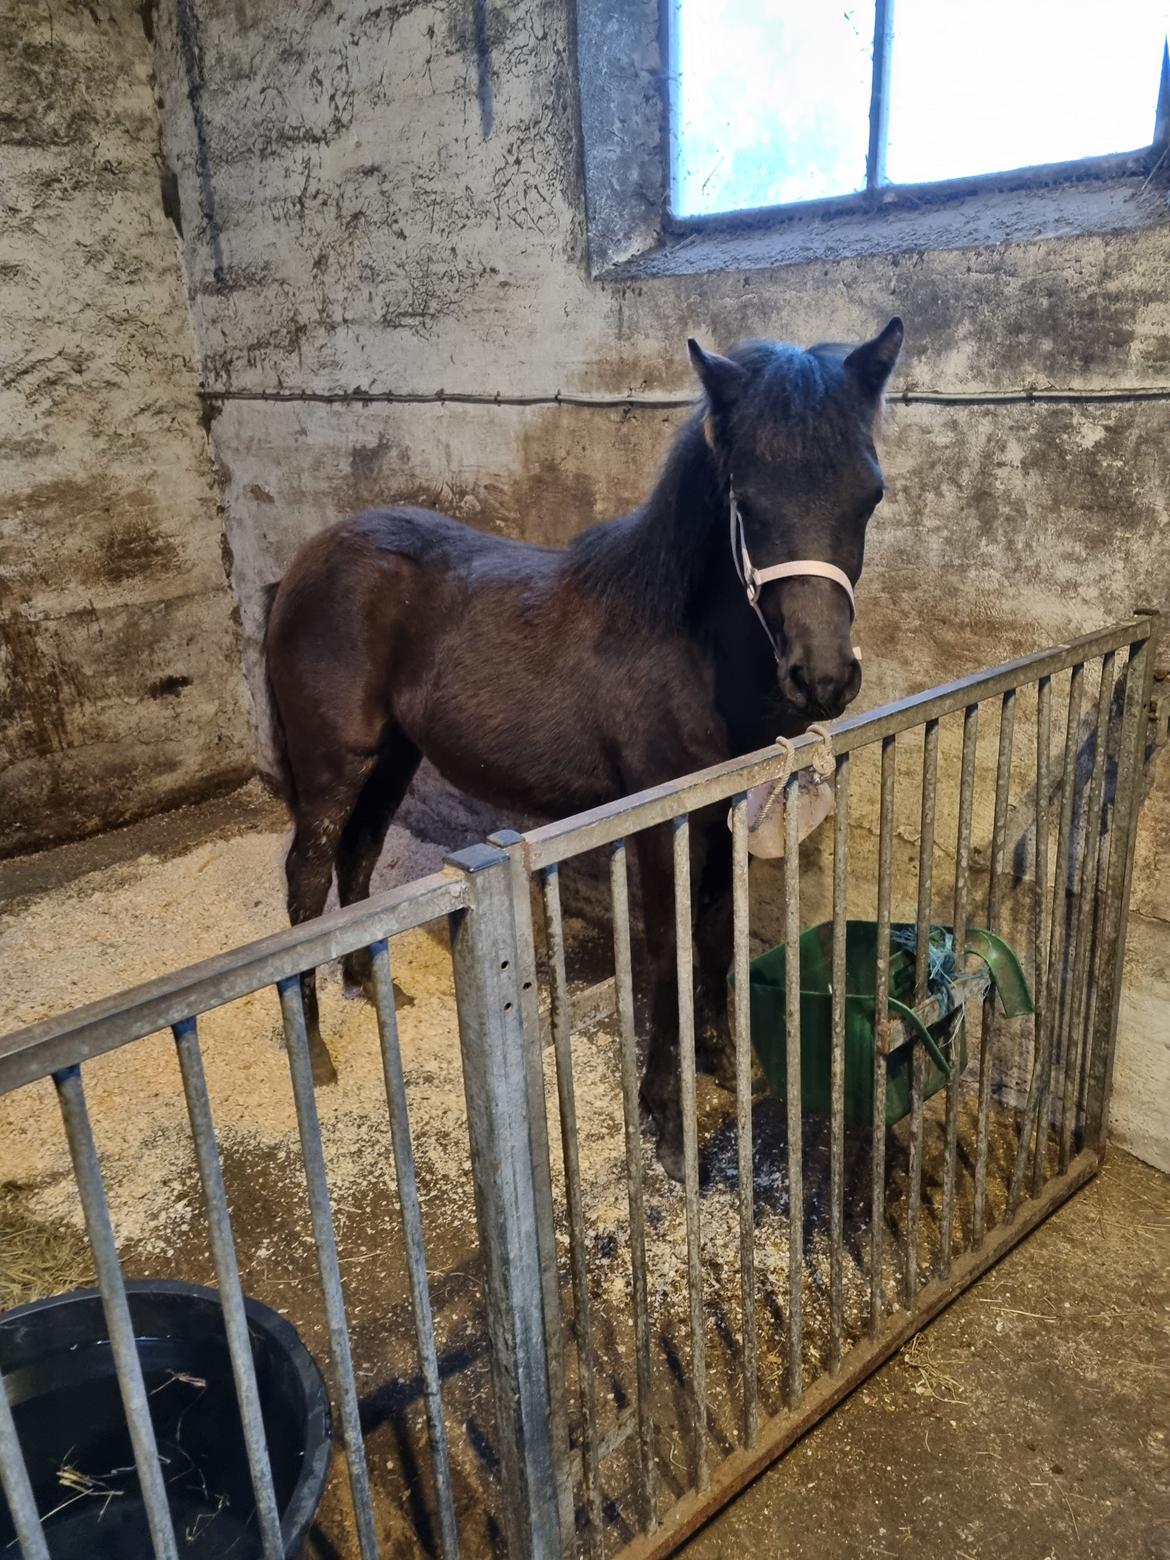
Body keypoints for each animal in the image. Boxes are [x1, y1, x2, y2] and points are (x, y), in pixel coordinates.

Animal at [263, 319, 903, 1179]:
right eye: (747, 499)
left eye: (869, 495)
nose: (823, 678)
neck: (683, 643)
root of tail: (310, 557)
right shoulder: (661, 829)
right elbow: (669, 954)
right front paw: (667, 1114)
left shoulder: (719, 819)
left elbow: (713, 938)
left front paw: (719, 1059)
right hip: (337, 760)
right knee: (306, 878)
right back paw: (316, 1048)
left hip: (394, 757)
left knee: (358, 856)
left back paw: (372, 987)